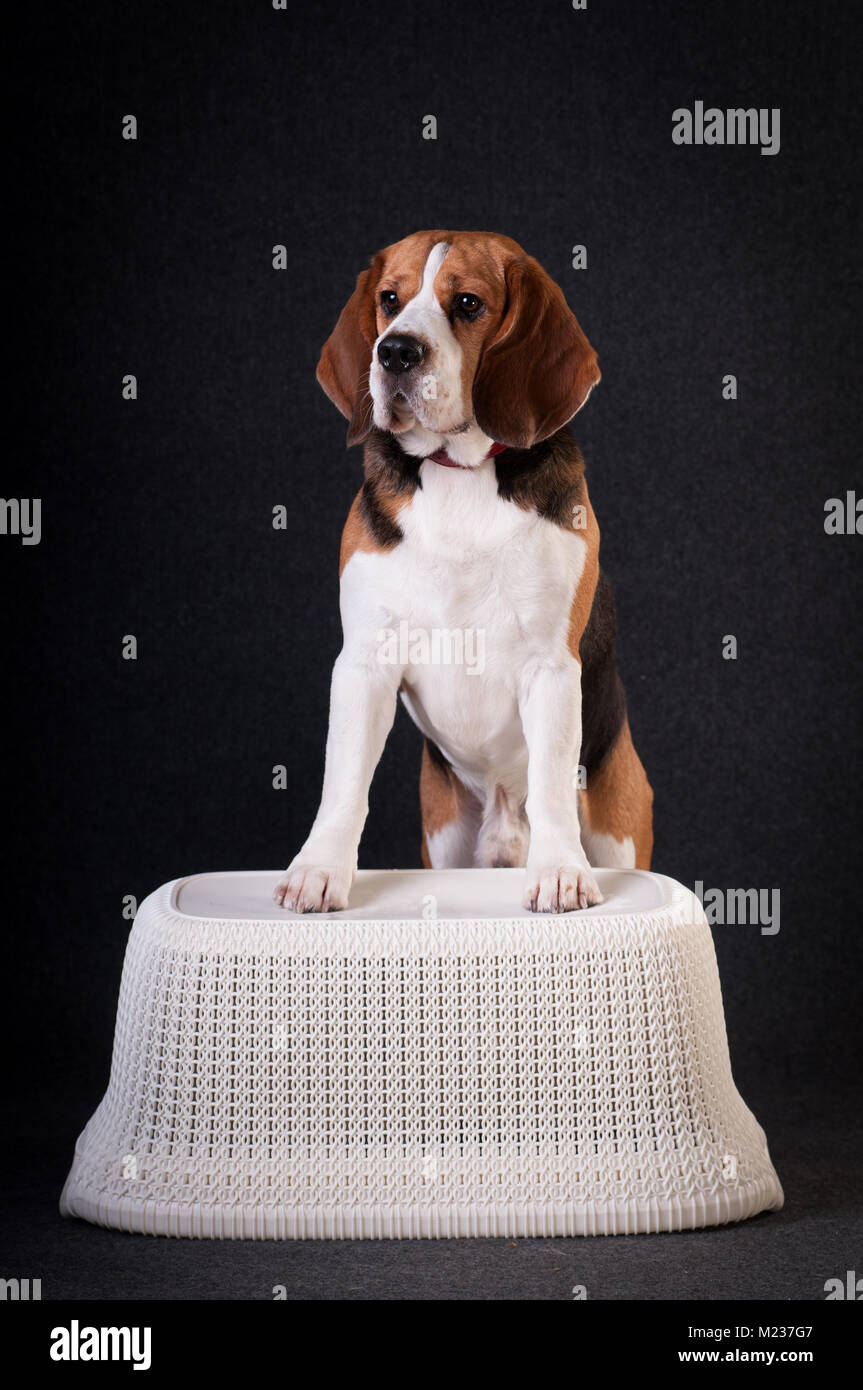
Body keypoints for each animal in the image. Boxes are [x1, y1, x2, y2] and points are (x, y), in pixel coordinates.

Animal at [272, 230, 650, 911]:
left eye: (469, 303)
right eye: (389, 299)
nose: (395, 351)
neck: (460, 471)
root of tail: (503, 822)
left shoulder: (552, 667)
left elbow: (551, 783)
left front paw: (560, 870)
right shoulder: (363, 662)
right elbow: (344, 782)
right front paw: (318, 869)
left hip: (619, 826)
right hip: (446, 836)